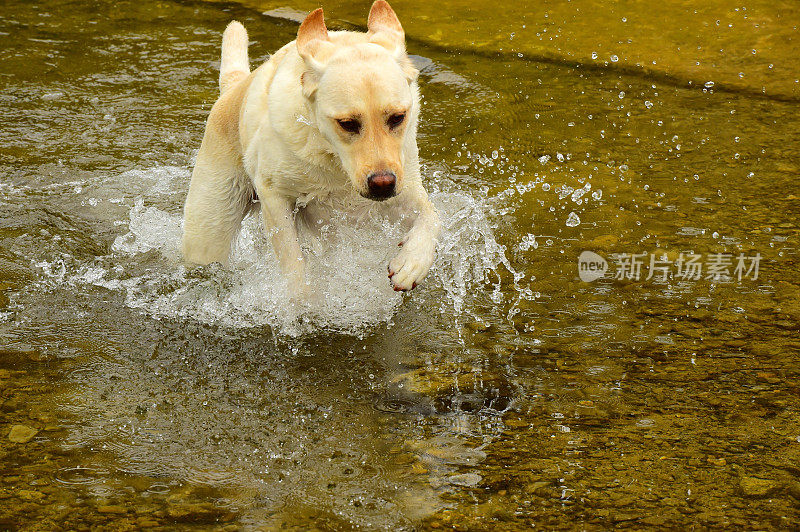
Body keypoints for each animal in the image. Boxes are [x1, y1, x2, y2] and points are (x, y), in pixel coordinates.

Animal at [181, 1, 440, 296]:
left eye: (397, 117)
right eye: (347, 123)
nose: (382, 184)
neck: (335, 162)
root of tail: (234, 88)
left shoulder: (404, 187)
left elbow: (433, 217)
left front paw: (412, 262)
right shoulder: (274, 196)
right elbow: (293, 263)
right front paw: (304, 300)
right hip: (209, 231)